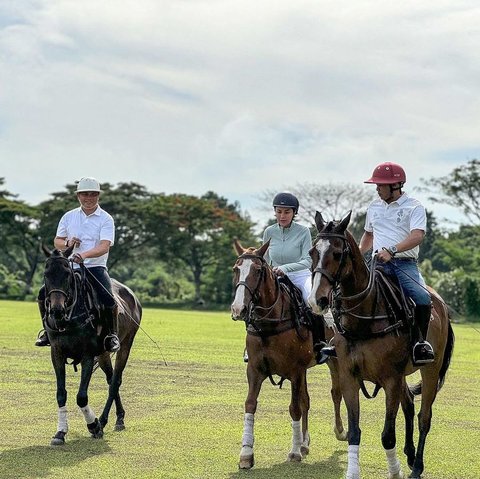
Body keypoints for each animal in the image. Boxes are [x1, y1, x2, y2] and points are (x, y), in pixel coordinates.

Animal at [41, 246, 142, 448]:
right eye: (46, 274)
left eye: (67, 273)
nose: (56, 310)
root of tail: (134, 297)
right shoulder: (56, 352)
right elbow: (61, 393)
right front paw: (60, 433)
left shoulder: (87, 354)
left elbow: (81, 397)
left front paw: (93, 426)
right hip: (103, 353)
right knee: (111, 379)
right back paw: (119, 417)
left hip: (125, 345)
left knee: (115, 381)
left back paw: (104, 420)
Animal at [232, 238, 346, 470]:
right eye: (235, 269)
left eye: (258, 270)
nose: (238, 309)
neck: (269, 324)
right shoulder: (255, 370)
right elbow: (250, 404)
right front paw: (246, 454)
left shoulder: (294, 370)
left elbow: (294, 408)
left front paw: (293, 452)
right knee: (307, 400)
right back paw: (304, 443)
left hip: (333, 360)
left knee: (335, 392)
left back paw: (340, 432)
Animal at [308, 213, 454, 479]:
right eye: (313, 251)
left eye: (337, 253)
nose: (318, 300)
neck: (364, 318)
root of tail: (439, 302)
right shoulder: (349, 377)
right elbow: (354, 431)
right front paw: (353, 472)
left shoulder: (390, 379)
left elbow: (387, 435)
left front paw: (395, 471)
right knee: (409, 404)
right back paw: (410, 455)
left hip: (431, 369)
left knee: (424, 416)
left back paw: (417, 466)